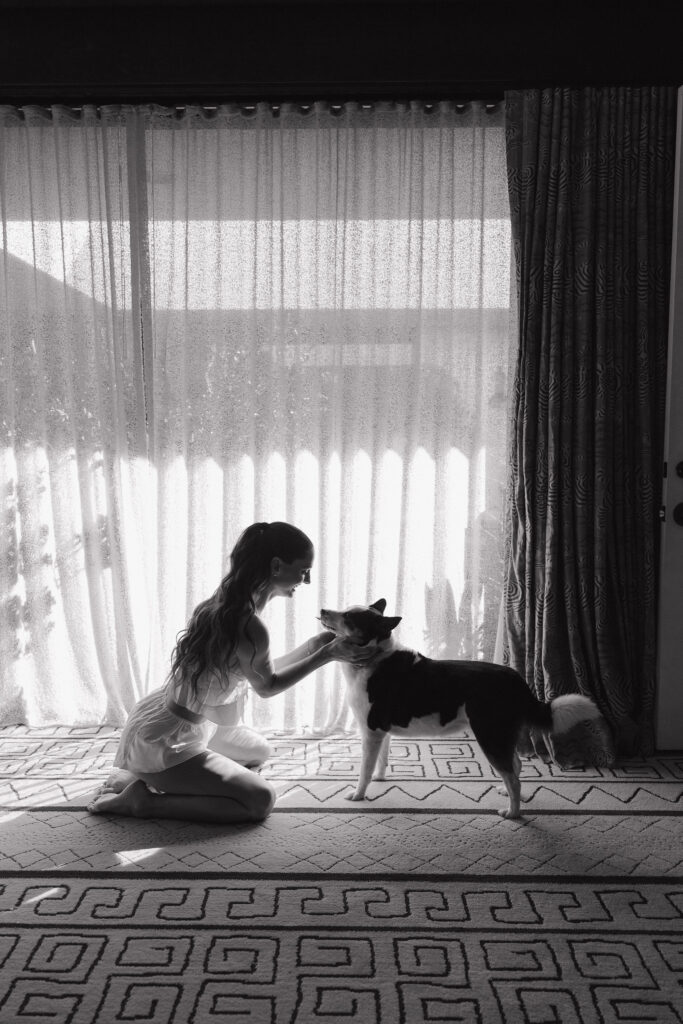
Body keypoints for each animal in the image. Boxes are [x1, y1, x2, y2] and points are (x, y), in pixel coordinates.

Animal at [323, 598, 602, 815]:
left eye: (349, 617)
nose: (323, 609)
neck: (373, 658)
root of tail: (516, 679)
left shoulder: (370, 731)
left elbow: (364, 770)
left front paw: (358, 795)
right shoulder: (382, 732)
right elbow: (380, 761)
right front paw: (380, 779)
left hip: (489, 735)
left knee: (513, 778)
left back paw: (512, 813)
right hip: (500, 734)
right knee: (516, 767)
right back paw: (505, 794)